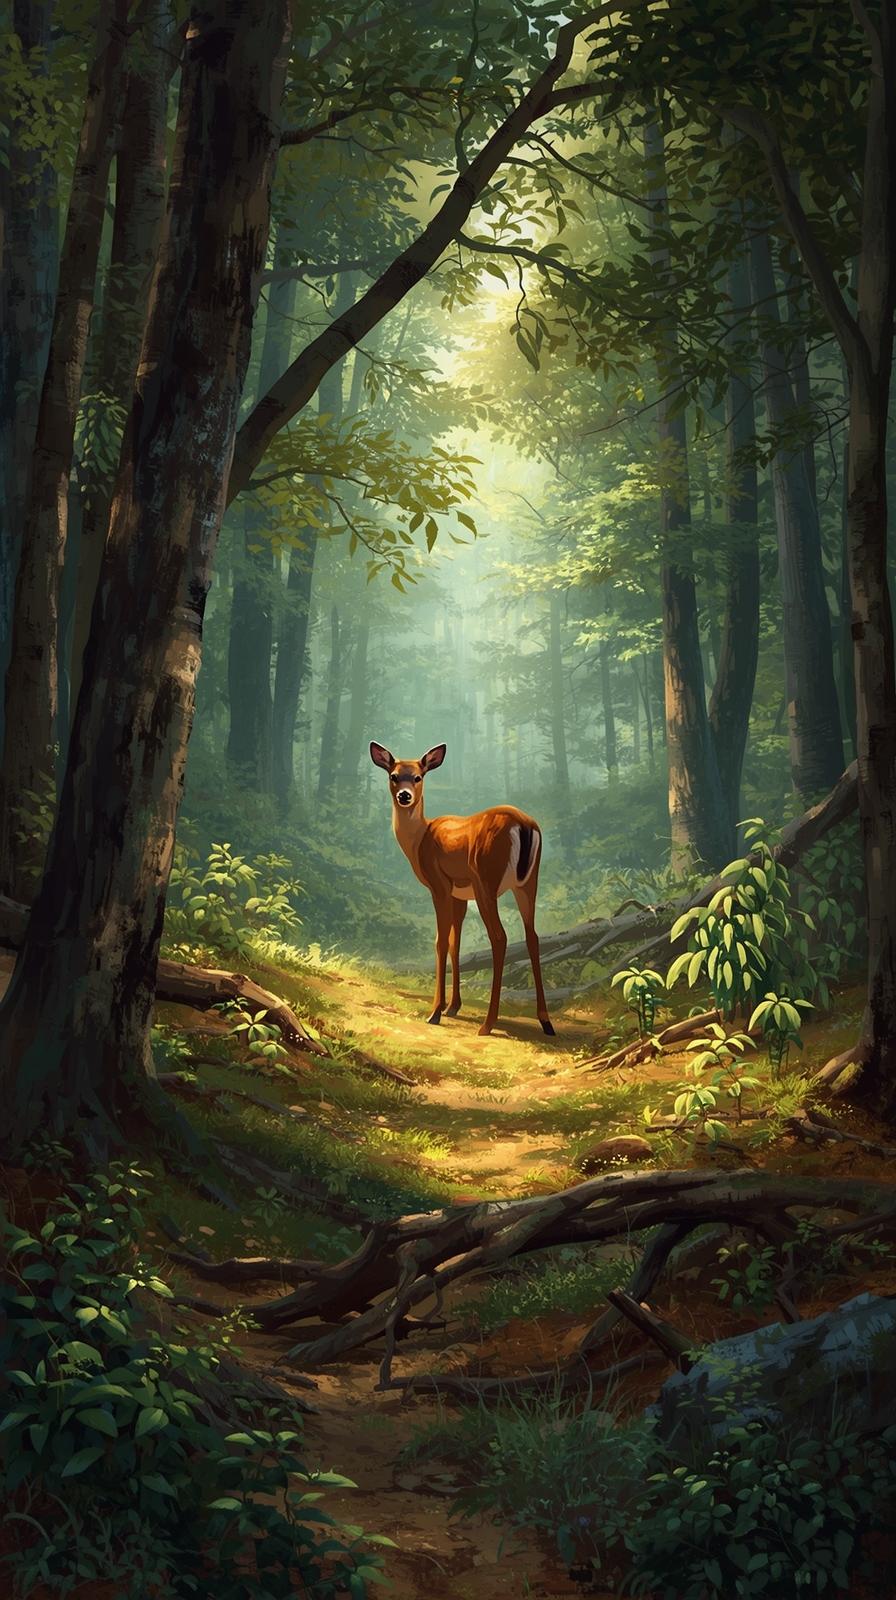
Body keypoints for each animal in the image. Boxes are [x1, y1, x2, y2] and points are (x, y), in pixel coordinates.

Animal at [370, 740, 555, 1038]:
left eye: (418, 777)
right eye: (394, 776)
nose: (405, 796)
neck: (419, 840)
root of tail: (526, 826)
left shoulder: (440, 886)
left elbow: (440, 942)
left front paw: (435, 1012)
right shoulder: (460, 896)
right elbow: (456, 944)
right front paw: (452, 1007)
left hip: (485, 881)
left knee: (500, 937)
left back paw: (488, 1024)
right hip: (529, 882)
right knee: (533, 936)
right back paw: (546, 1021)